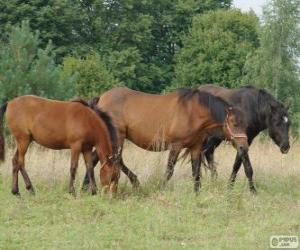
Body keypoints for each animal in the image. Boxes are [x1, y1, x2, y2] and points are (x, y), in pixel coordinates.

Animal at [82, 87, 248, 192]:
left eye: (245, 124)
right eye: (234, 123)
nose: (243, 148)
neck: (193, 112)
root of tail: (100, 100)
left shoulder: (195, 147)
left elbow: (196, 173)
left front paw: (197, 194)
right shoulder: (176, 146)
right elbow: (169, 171)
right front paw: (160, 188)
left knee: (99, 158)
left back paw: (86, 187)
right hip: (118, 136)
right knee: (115, 159)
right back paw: (134, 182)